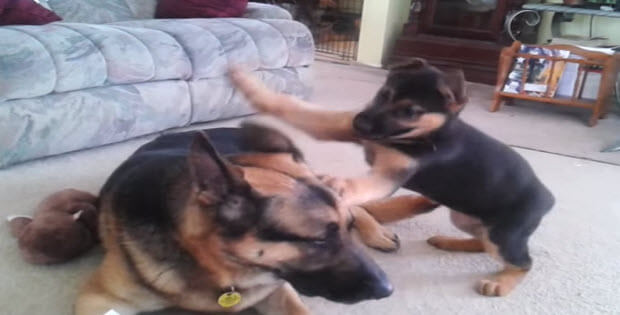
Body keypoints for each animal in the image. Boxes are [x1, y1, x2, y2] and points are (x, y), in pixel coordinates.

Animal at [74, 123, 392, 315]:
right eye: (319, 240)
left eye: (346, 230)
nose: (388, 290)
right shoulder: (96, 300)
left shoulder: (279, 289)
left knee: (353, 199)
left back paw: (379, 233)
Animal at [229, 59, 556, 298]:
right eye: (384, 94)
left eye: (411, 111)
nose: (360, 123)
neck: (421, 137)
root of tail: (548, 198)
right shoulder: (341, 126)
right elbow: (293, 108)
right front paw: (247, 86)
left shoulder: (389, 175)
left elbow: (357, 186)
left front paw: (334, 185)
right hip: (467, 219)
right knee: (481, 241)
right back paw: (449, 242)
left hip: (504, 234)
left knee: (523, 262)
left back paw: (500, 283)